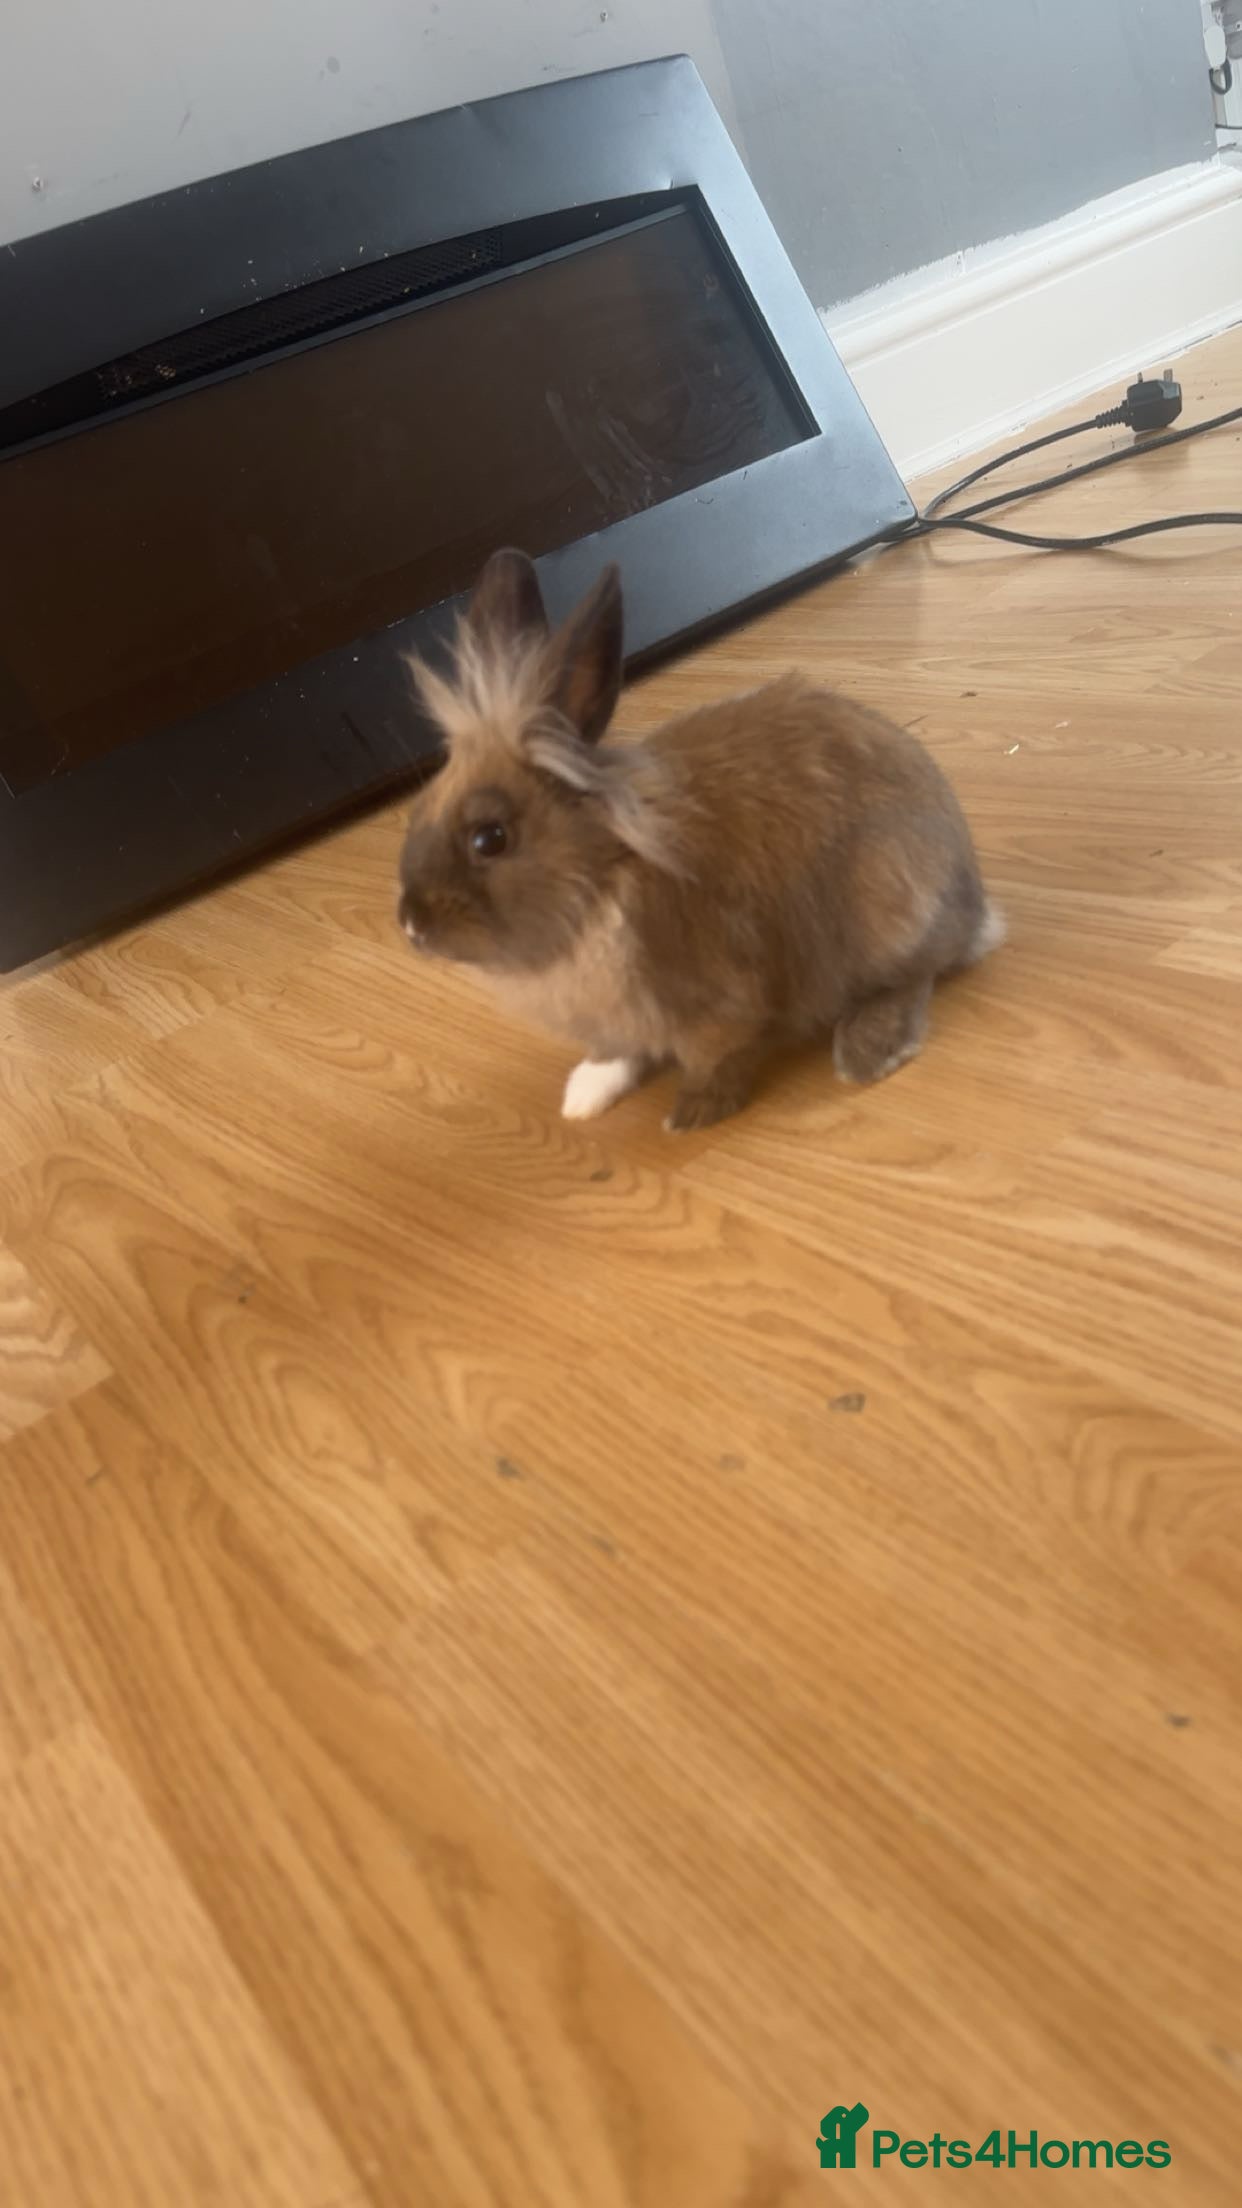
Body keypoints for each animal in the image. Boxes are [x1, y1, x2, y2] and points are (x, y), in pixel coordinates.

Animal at [396, 547, 1003, 1131]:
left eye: (490, 839)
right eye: (419, 810)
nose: (410, 924)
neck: (599, 881)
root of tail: (972, 902)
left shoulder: (720, 1001)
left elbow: (717, 1056)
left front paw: (693, 1113)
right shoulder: (616, 1025)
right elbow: (618, 1054)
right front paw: (584, 1097)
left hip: (891, 912)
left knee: (917, 974)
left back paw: (867, 1049)